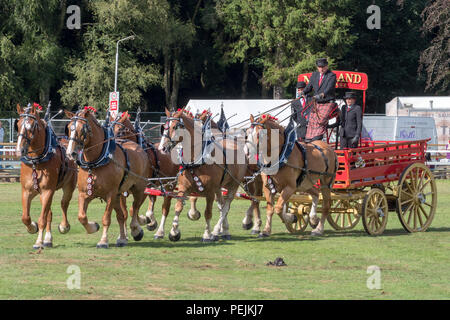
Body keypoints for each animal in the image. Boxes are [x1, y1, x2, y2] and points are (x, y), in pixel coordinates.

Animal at [15, 104, 77, 249]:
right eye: (18, 125)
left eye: (31, 126)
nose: (19, 150)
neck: (35, 162)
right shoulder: (27, 191)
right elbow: (25, 217)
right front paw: (32, 227)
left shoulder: (48, 191)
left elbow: (42, 219)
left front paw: (38, 242)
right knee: (49, 213)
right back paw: (48, 239)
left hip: (68, 187)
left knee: (64, 204)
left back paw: (63, 227)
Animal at [159, 109, 250, 241]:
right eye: (164, 127)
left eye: (175, 126)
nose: (162, 147)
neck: (196, 159)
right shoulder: (183, 188)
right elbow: (178, 207)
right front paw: (174, 231)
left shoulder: (210, 192)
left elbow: (208, 213)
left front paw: (207, 234)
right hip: (219, 187)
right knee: (221, 205)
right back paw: (225, 230)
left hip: (233, 184)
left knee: (226, 206)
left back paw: (217, 230)